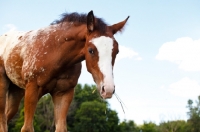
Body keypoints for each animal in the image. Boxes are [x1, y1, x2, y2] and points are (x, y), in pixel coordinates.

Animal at [0, 10, 129, 131]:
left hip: (16, 91)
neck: (55, 52)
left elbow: (61, 128)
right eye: (91, 50)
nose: (108, 89)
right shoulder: (33, 88)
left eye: (117, 51)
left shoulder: (64, 93)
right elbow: (27, 128)